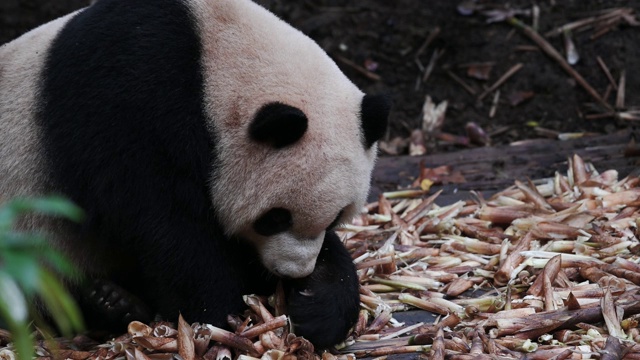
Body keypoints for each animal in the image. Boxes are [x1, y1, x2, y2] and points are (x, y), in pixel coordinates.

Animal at [0, 0, 388, 350]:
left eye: (337, 216)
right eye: (275, 218)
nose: (294, 273)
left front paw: (318, 301)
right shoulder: (124, 96)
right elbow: (164, 221)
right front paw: (216, 311)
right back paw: (109, 302)